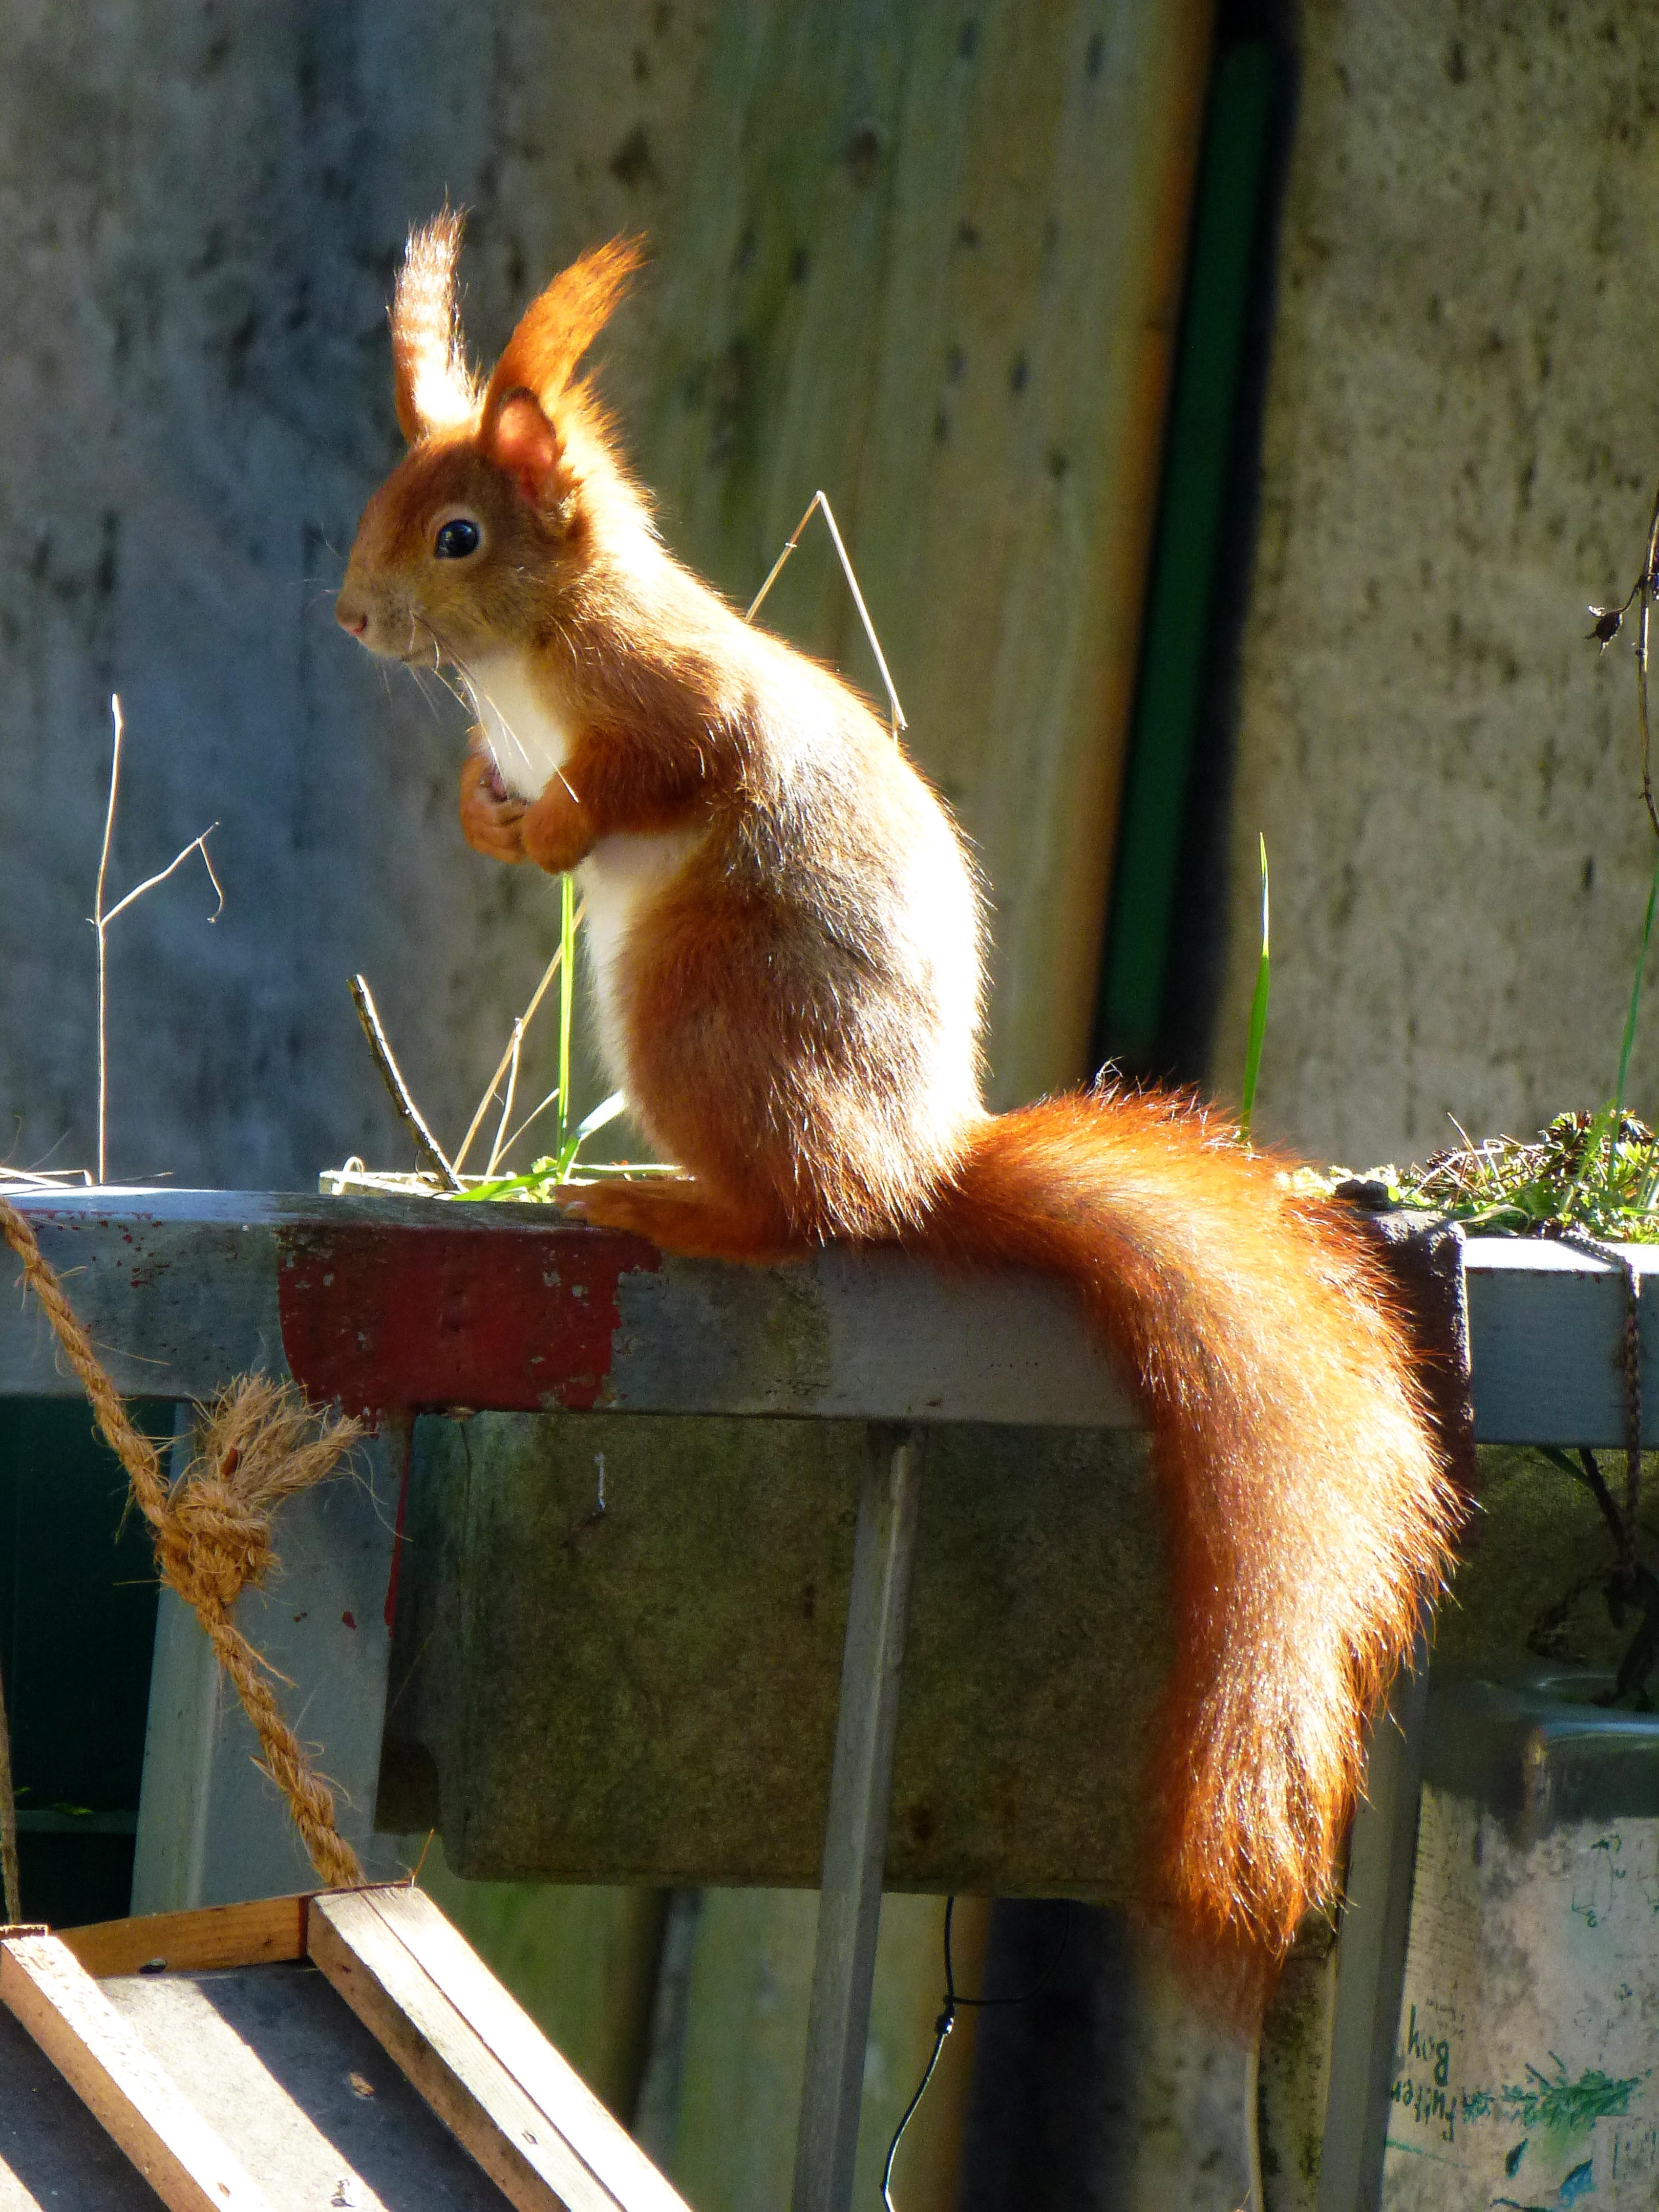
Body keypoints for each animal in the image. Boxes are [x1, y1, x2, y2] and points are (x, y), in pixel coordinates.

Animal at [336, 216, 1461, 1994]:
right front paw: (484, 808)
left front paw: (550, 827)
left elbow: (666, 773)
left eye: (458, 535)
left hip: (700, 1011)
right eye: (392, 504)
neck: (530, 652)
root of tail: (921, 1163)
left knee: (807, 1221)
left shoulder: (669, 701)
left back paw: (668, 1202)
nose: (355, 613)